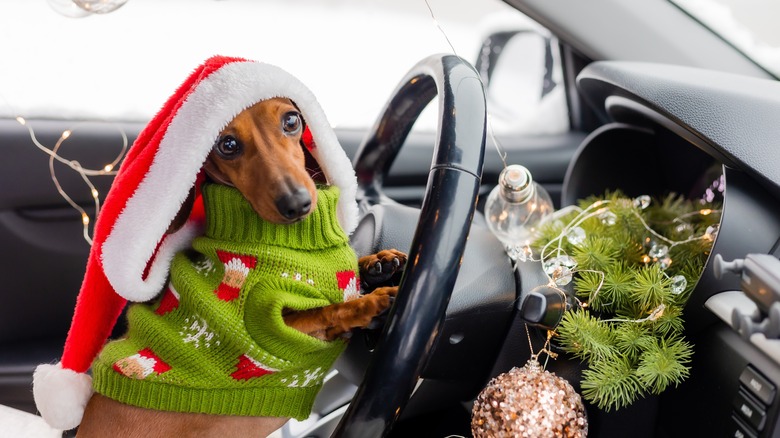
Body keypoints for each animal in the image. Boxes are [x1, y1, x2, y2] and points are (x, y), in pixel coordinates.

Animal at [74, 97, 408, 436]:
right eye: (228, 144)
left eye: (292, 121)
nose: (296, 203)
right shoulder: (272, 331)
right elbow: (328, 311)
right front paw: (371, 302)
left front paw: (377, 263)